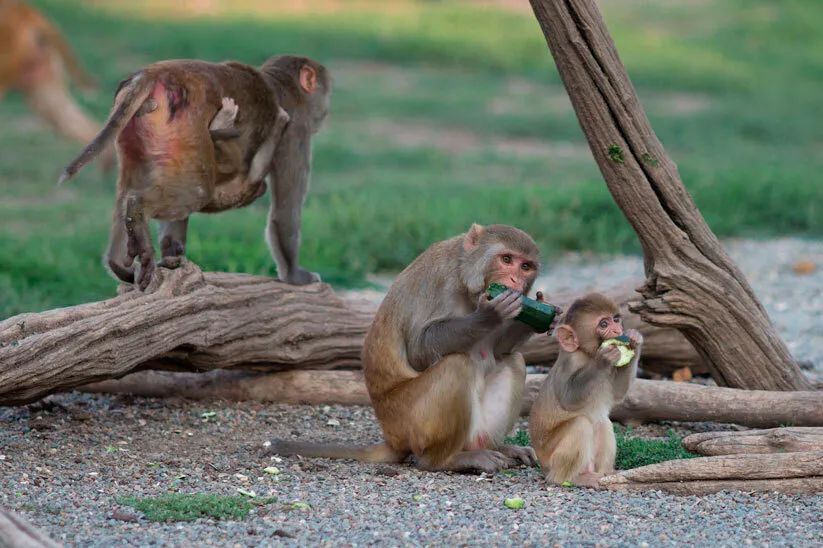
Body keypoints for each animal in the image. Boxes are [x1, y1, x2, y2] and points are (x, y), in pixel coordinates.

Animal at [61, 54, 332, 292]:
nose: (324, 113)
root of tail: (152, 73)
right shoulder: (297, 130)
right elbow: (285, 213)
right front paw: (295, 275)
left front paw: (173, 255)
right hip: (188, 127)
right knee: (197, 192)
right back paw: (138, 213)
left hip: (134, 132)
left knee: (133, 187)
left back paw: (118, 260)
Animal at [268, 225, 556, 474]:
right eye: (506, 259)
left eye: (526, 266)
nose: (515, 281)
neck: (465, 277)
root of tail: (392, 438)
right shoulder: (441, 282)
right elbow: (419, 350)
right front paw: (489, 314)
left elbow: (498, 351)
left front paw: (546, 315)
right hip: (410, 422)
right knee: (456, 366)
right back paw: (445, 460)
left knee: (514, 361)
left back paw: (499, 448)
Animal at [532, 294, 640, 486]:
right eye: (603, 324)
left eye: (616, 320)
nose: (617, 330)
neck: (587, 354)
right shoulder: (570, 363)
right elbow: (568, 399)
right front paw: (603, 359)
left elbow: (618, 394)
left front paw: (634, 341)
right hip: (550, 459)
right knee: (580, 424)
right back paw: (571, 478)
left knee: (602, 422)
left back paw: (607, 473)